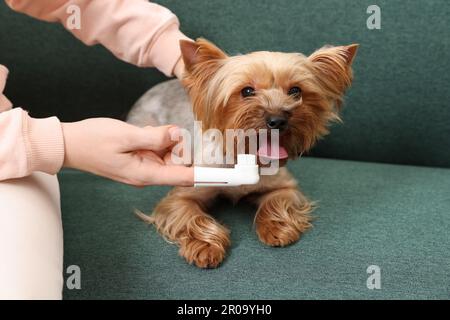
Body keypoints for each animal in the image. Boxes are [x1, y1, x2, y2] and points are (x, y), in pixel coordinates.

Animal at [127, 38, 358, 268]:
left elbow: (276, 201)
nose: (277, 120)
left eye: (295, 91)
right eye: (247, 91)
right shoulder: (182, 197)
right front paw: (205, 245)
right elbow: (190, 216)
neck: (244, 156)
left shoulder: (285, 187)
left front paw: (277, 227)